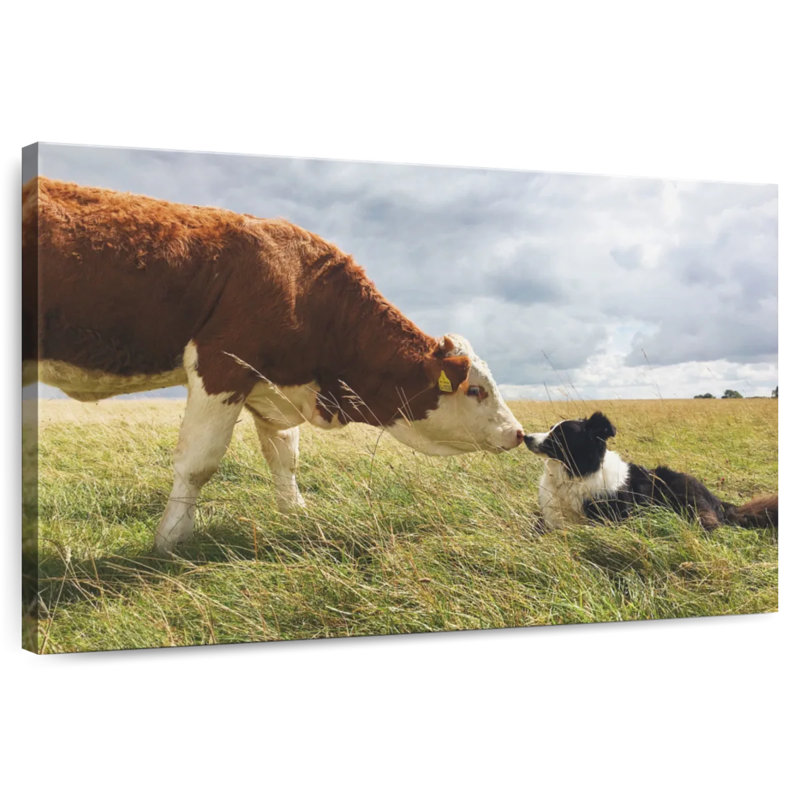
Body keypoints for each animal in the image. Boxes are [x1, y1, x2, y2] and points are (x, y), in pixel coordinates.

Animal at [22, 177, 524, 553]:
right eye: (476, 389)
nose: (518, 433)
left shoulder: (273, 385)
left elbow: (285, 455)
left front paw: (296, 513)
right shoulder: (222, 364)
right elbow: (198, 461)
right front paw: (171, 539)